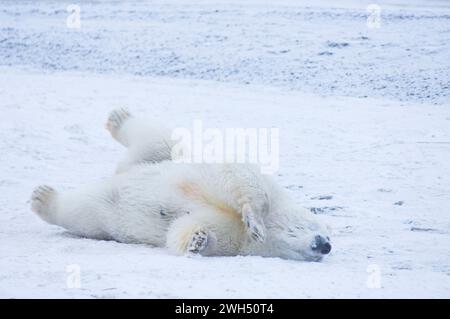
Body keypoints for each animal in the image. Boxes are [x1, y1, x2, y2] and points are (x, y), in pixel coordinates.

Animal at [29, 109, 330, 262]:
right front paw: (254, 219)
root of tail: (122, 171)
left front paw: (198, 240)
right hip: (170, 157)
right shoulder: (264, 189)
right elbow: (239, 179)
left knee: (83, 212)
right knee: (161, 140)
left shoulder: (236, 241)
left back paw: (44, 199)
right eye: (317, 228)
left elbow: (188, 228)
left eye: (315, 255)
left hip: (104, 215)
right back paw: (119, 118)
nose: (326, 245)